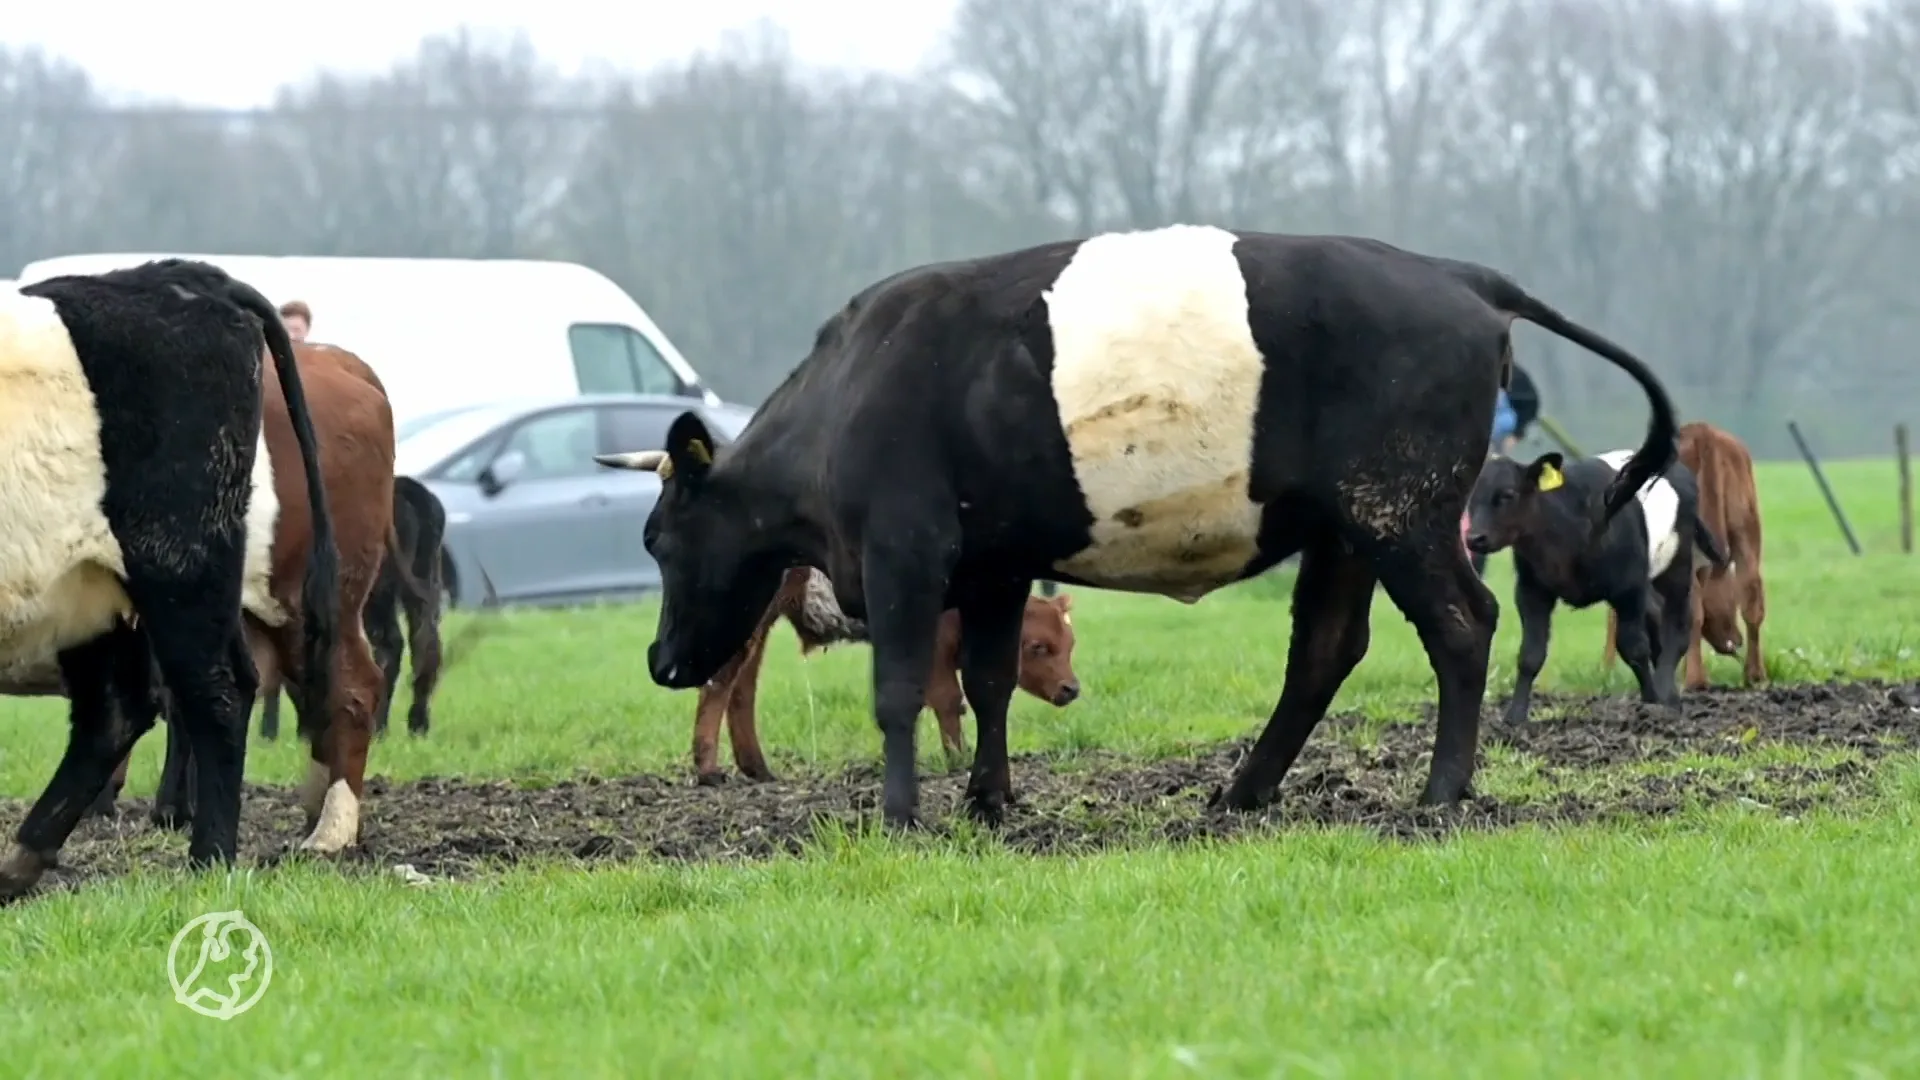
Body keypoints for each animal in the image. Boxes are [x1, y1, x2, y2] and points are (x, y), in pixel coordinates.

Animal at [0, 260, 340, 901]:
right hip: (92, 591)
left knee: (217, 694)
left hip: (177, 564)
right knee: (117, 711)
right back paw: (21, 859)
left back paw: (209, 859)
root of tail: (178, 274)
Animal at [259, 474, 448, 740]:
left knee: (391, 645)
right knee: (426, 642)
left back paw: (378, 727)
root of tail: (407, 488)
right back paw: (417, 726)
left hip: (376, 595)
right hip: (425, 580)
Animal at [690, 567, 1081, 784]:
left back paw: (757, 768)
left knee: (743, 685)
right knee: (719, 682)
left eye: (1070, 643)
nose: (1072, 688)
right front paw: (958, 759)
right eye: (1038, 646)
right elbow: (948, 699)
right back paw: (708, 771)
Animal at [1464, 448, 1730, 726]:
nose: (1474, 538)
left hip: (1677, 567)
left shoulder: (1628, 588)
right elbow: (1530, 654)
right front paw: (1515, 716)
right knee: (1657, 620)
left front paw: (1650, 702)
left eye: (1507, 494)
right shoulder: (1531, 591)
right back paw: (1671, 697)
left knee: (1677, 626)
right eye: (1471, 496)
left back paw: (1665, 695)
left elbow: (1634, 647)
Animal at [1601, 421, 1766, 690]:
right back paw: (1755, 674)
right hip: (1748, 532)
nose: (1736, 640)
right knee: (1753, 598)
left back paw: (1695, 679)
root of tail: (1703, 432)